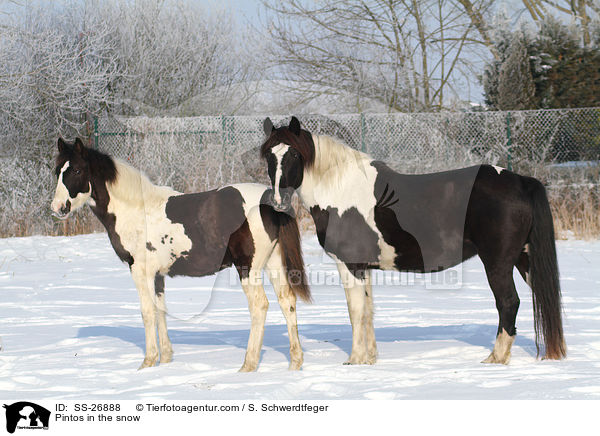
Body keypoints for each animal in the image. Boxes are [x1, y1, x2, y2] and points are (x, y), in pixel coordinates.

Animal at [50, 139, 310, 372]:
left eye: (76, 170)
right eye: (57, 171)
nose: (57, 208)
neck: (136, 209)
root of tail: (271, 201)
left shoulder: (140, 271)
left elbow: (147, 313)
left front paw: (147, 363)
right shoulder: (158, 275)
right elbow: (160, 311)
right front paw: (165, 360)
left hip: (249, 268)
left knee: (259, 306)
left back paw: (248, 365)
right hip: (273, 264)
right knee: (287, 302)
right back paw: (295, 363)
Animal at [260, 117, 564, 366]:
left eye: (294, 154)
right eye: (268, 156)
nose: (278, 201)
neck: (340, 190)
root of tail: (520, 181)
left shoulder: (350, 265)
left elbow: (355, 311)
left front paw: (354, 360)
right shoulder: (366, 268)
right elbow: (368, 311)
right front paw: (369, 359)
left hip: (498, 262)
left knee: (508, 303)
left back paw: (495, 358)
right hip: (525, 259)